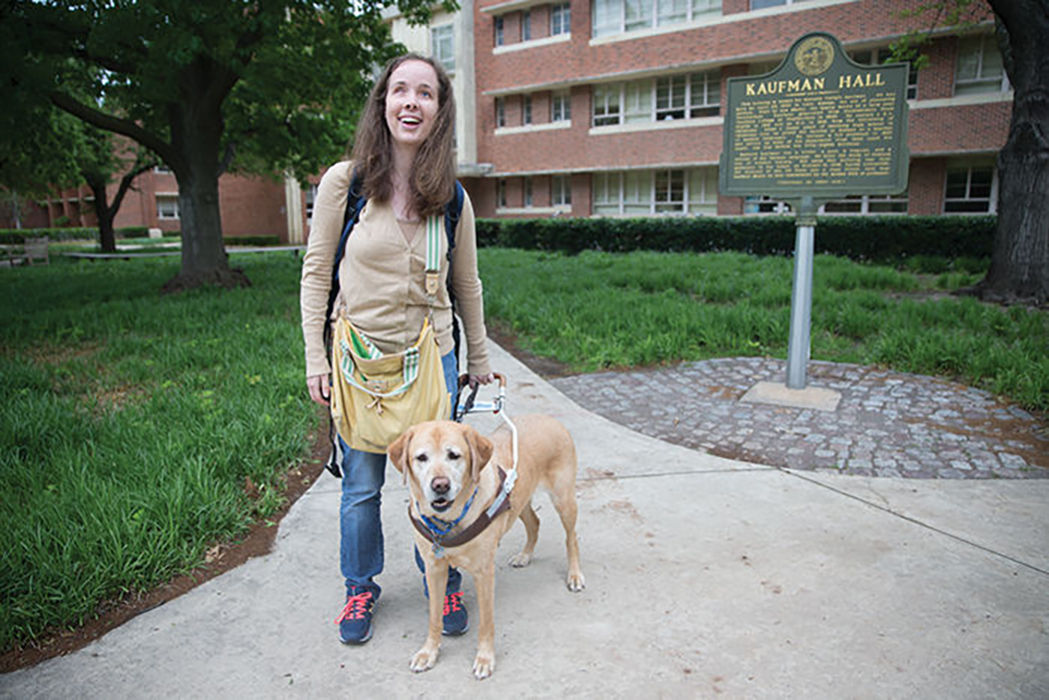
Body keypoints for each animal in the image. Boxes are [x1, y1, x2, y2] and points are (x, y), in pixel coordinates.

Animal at [390, 413, 587, 680]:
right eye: (421, 457)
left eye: (454, 455)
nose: (440, 485)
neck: (449, 521)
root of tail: (548, 417)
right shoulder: (434, 569)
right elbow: (434, 617)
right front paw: (428, 652)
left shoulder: (483, 573)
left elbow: (486, 623)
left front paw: (485, 659)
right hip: (518, 500)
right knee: (534, 522)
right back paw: (525, 555)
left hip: (563, 498)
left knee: (571, 536)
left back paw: (575, 575)